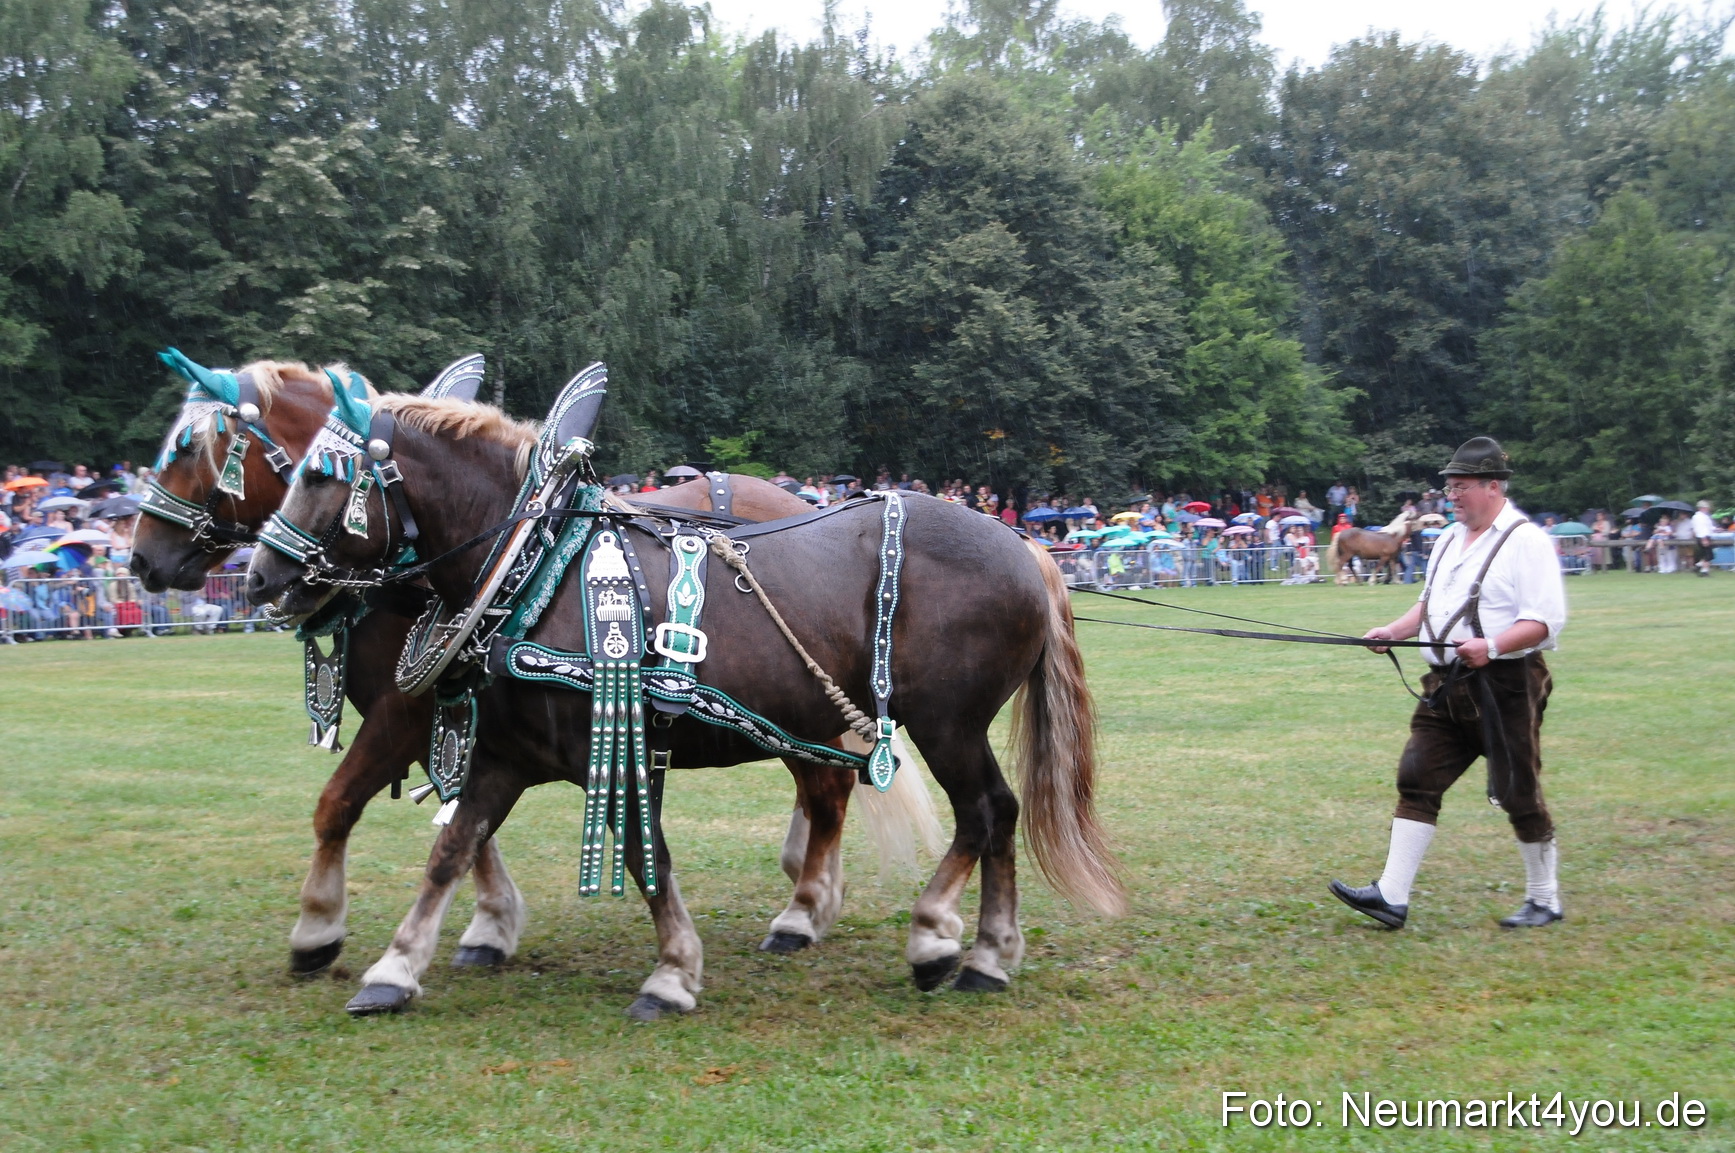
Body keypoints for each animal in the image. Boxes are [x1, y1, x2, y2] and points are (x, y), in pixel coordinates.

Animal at [130, 354, 936, 981]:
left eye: (190, 450)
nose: (141, 560)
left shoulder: (408, 712)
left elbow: (342, 805)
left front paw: (320, 929)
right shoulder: (466, 717)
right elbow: (462, 821)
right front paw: (484, 924)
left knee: (826, 785)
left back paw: (804, 908)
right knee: (821, 784)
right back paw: (810, 885)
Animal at [245, 391, 1122, 1018]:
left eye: (321, 475)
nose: (258, 577)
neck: (536, 570)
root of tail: (1025, 544)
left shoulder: (609, 744)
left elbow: (644, 855)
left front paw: (671, 972)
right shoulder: (505, 755)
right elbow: (451, 848)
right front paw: (393, 968)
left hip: (947, 723)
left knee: (983, 811)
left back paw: (940, 940)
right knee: (987, 814)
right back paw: (986, 952)